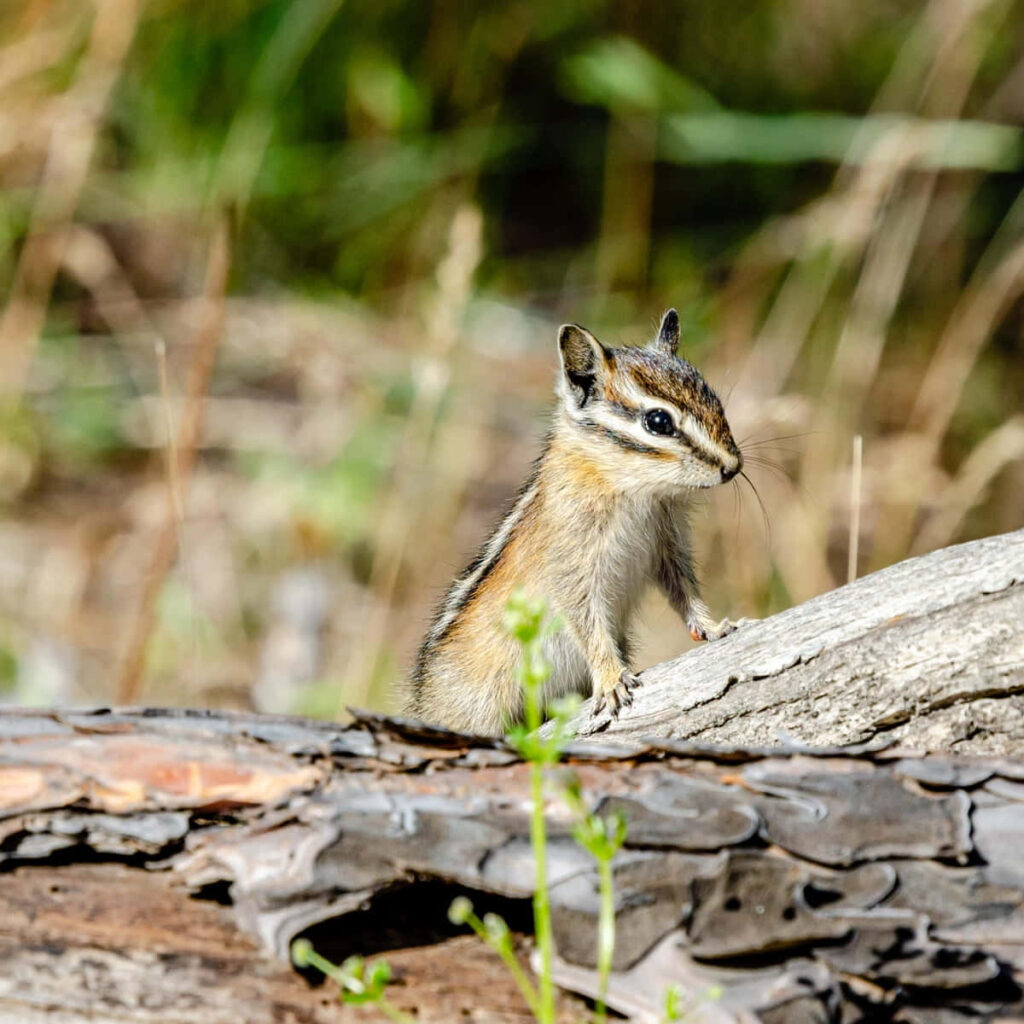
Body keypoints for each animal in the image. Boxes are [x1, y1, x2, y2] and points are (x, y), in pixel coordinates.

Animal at [405, 309, 743, 736]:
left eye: (712, 396)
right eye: (658, 421)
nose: (733, 467)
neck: (633, 489)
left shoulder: (667, 542)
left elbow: (684, 589)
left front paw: (712, 627)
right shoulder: (571, 563)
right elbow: (586, 621)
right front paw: (611, 679)